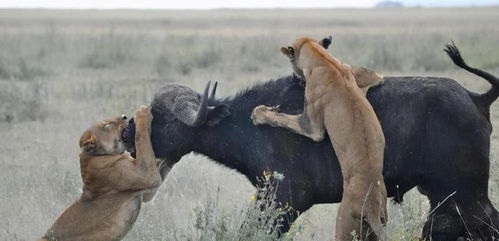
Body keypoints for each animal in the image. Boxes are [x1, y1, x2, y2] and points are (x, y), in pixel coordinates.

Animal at [122, 45, 499, 241]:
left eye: (159, 117)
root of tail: (476, 98)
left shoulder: (282, 202)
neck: (240, 125)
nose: (126, 134)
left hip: (465, 196)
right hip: (444, 198)